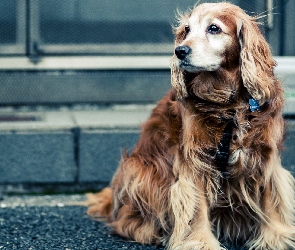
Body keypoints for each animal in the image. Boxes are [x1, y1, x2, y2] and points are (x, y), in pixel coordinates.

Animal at [88, 2, 295, 250]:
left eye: (214, 28)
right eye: (186, 30)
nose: (180, 51)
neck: (228, 106)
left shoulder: (265, 155)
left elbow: (272, 198)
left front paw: (277, 237)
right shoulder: (194, 161)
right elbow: (196, 208)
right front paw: (201, 243)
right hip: (139, 170)